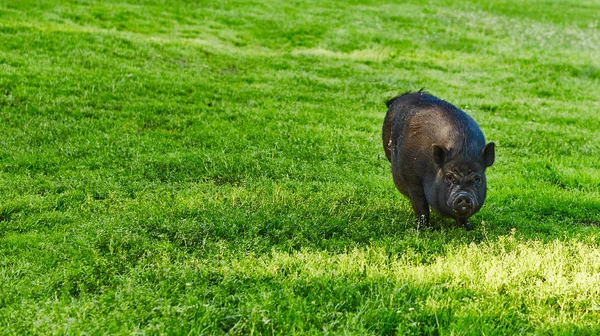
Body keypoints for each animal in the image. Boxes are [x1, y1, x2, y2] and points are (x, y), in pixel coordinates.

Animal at [382, 90, 494, 230]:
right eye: (449, 177)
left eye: (477, 179)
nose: (464, 195)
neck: (463, 150)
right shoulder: (412, 180)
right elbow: (421, 207)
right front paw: (422, 229)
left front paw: (467, 229)